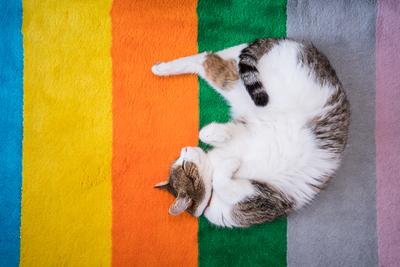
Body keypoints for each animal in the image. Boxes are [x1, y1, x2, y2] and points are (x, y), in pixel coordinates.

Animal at [152, 38, 348, 228]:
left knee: (211, 58)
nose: (184, 149)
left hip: (258, 91)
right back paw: (161, 68)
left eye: (184, 163)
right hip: (239, 87)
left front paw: (218, 135)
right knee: (211, 61)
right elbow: (221, 180)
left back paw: (161, 68)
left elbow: (206, 135)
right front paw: (231, 162)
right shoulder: (257, 199)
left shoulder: (248, 129)